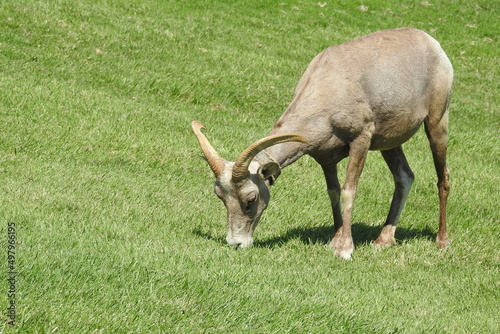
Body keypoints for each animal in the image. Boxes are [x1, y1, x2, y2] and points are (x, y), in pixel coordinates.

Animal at [191, 28, 454, 258]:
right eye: (220, 197)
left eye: (251, 199)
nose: (235, 243)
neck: (330, 88)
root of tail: (431, 43)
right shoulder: (326, 158)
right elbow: (333, 192)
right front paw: (335, 241)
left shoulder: (361, 140)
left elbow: (348, 191)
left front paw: (344, 250)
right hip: (389, 144)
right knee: (404, 177)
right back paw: (383, 241)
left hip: (436, 124)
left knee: (443, 178)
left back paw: (442, 242)